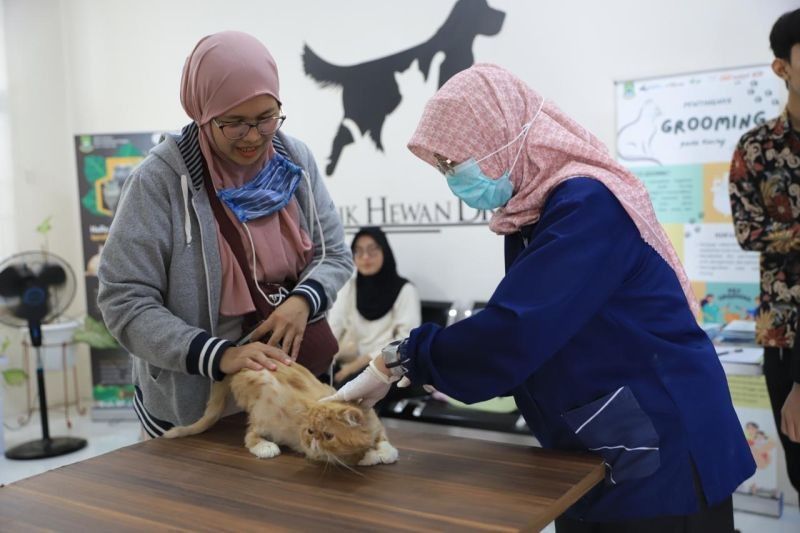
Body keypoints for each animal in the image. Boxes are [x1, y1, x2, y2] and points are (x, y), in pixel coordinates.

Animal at [163, 360, 400, 464]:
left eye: (327, 434)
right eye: (310, 432)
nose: (312, 441)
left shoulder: (376, 424)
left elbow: (385, 443)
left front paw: (383, 451)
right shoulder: (318, 454)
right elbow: (348, 457)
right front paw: (369, 456)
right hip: (260, 410)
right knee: (250, 435)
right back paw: (265, 447)